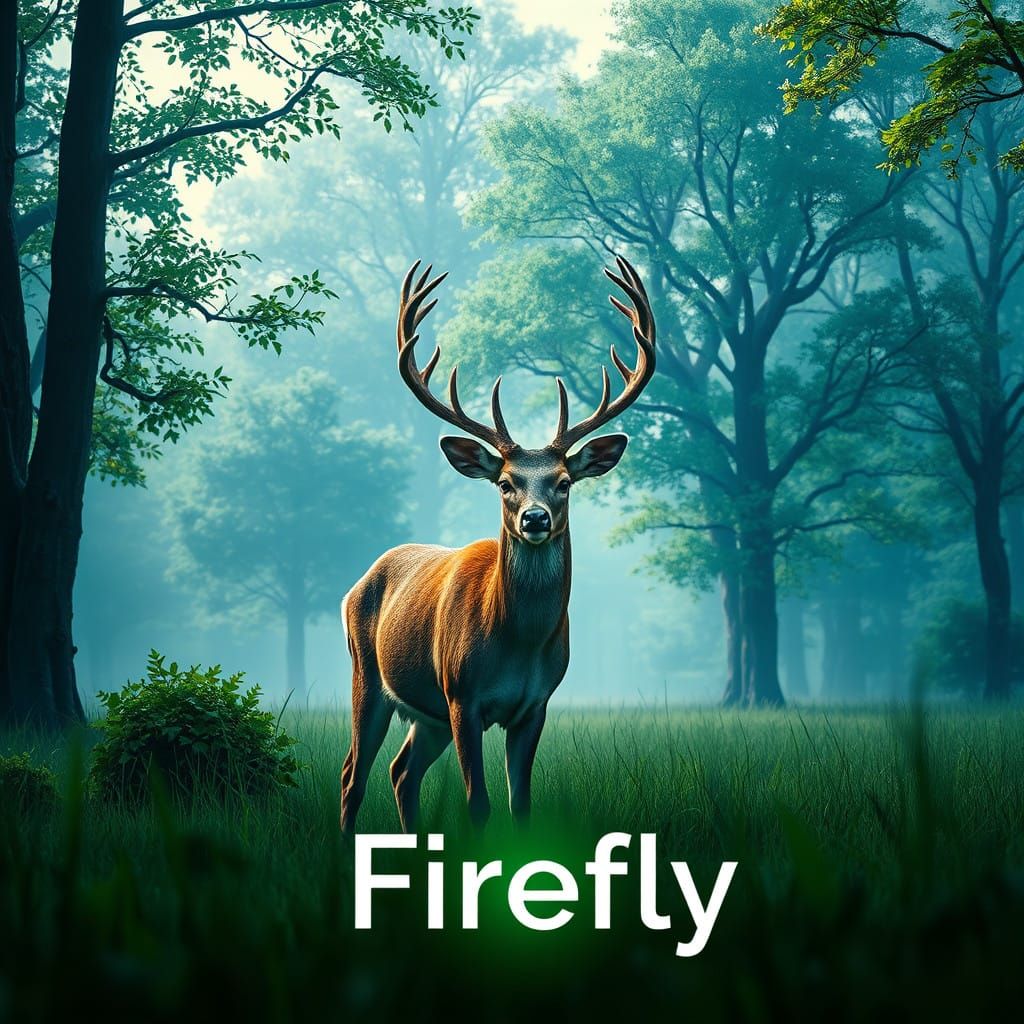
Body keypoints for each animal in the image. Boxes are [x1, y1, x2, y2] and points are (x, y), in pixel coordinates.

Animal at [339, 255, 656, 833]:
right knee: (353, 773)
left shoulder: (535, 705)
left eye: (564, 481)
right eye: (506, 482)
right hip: (368, 675)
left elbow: (521, 805)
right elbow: (478, 804)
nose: (534, 518)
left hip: (427, 714)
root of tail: (358, 582)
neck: (517, 642)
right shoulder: (462, 695)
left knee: (400, 771)